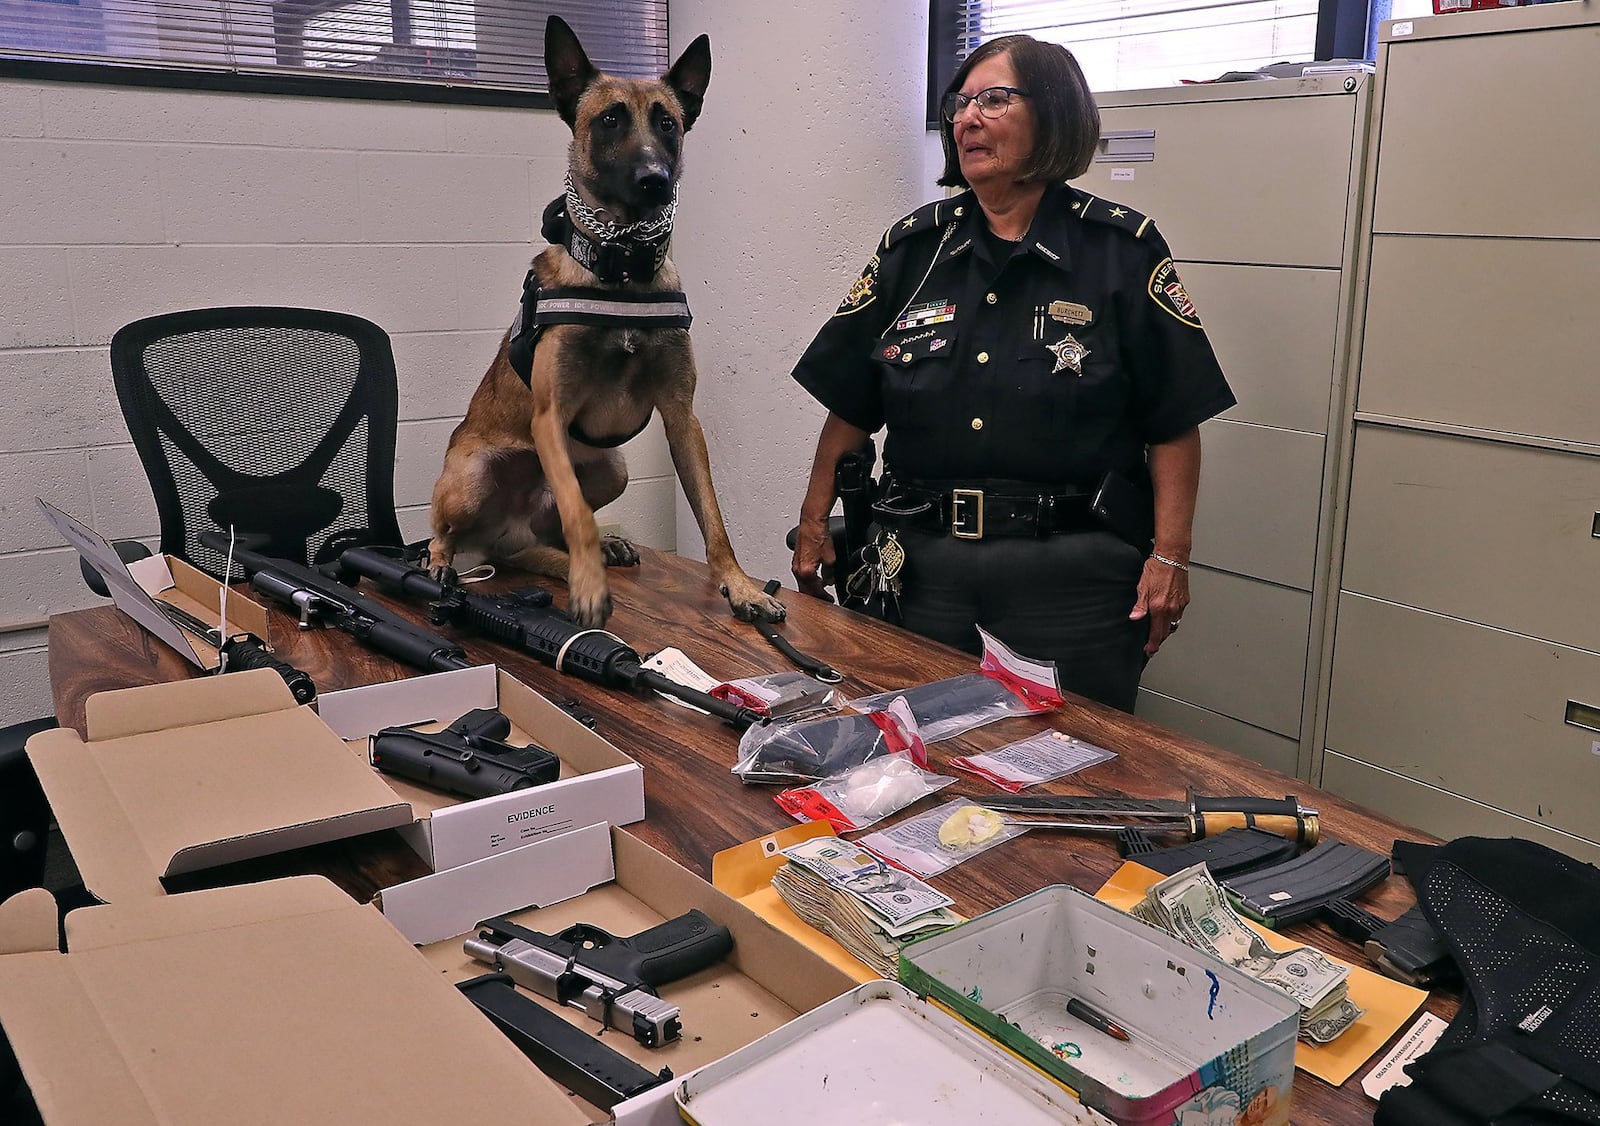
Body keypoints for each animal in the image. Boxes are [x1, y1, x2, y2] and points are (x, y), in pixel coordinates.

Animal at [419, 17, 780, 630]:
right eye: (609, 120)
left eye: (667, 123)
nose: (655, 179)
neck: (624, 267)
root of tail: (502, 531)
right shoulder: (549, 416)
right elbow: (574, 511)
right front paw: (588, 586)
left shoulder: (682, 416)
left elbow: (712, 515)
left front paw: (739, 586)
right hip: (471, 479)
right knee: (445, 534)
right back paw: (444, 567)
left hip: (614, 470)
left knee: (537, 540)